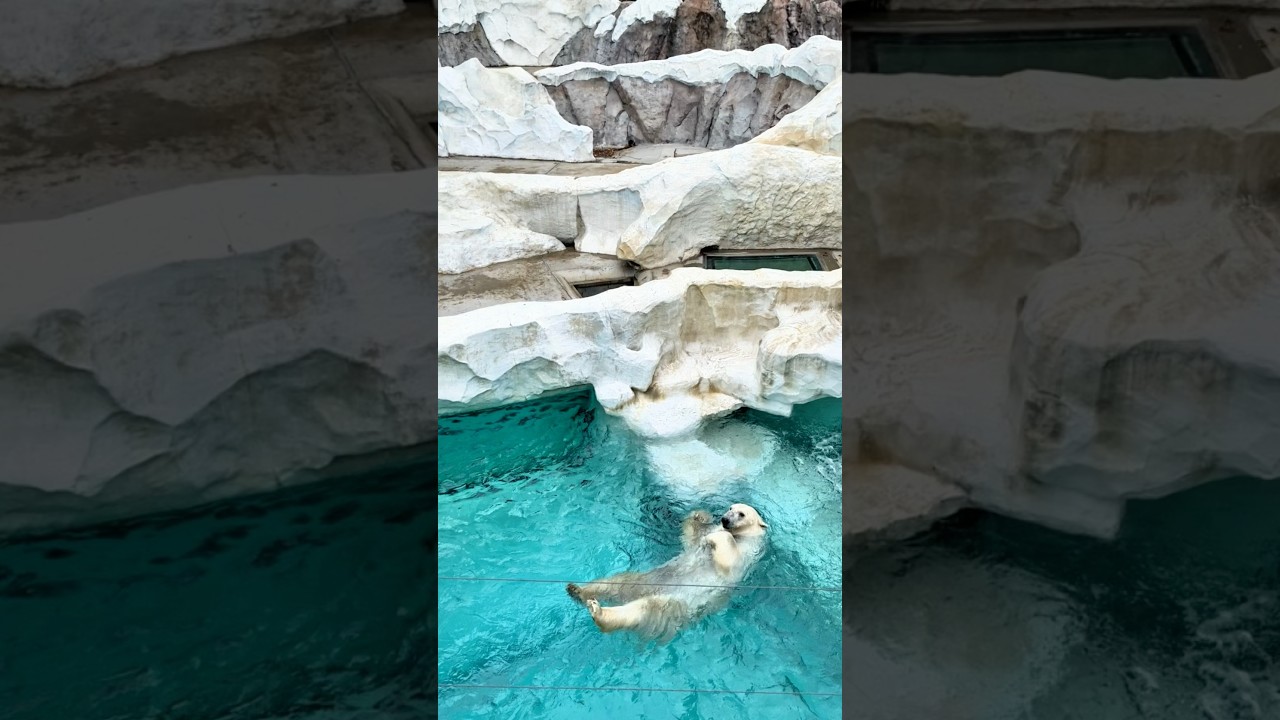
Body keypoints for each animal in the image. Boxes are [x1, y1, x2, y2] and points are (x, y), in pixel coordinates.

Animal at [566, 503, 768, 641]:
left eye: (741, 514)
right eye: (730, 508)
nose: (725, 520)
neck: (742, 535)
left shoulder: (748, 552)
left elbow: (728, 561)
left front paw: (715, 538)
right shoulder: (700, 539)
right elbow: (692, 537)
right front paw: (700, 516)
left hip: (671, 606)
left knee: (641, 609)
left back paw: (599, 612)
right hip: (645, 579)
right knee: (615, 583)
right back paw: (577, 590)